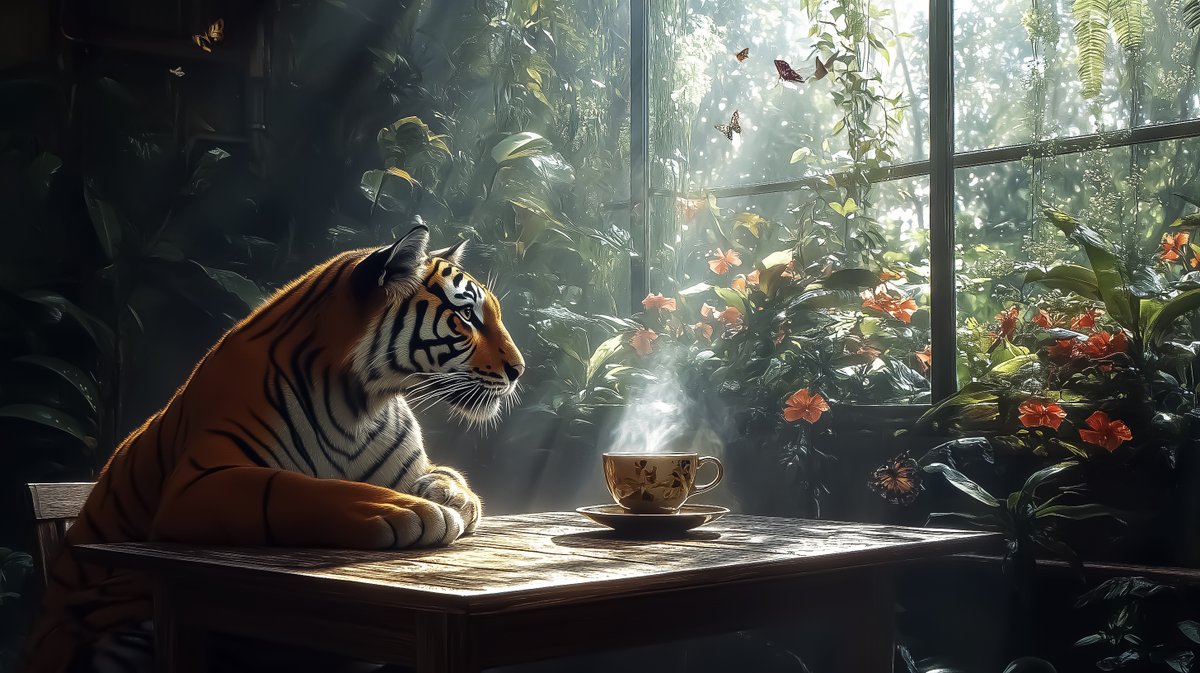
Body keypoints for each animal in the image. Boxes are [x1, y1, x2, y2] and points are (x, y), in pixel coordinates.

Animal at [26, 223, 525, 673]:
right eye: (467, 317)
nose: (520, 369)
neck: (361, 402)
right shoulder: (197, 483)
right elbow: (300, 487)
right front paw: (410, 511)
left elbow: (447, 475)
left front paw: (450, 497)